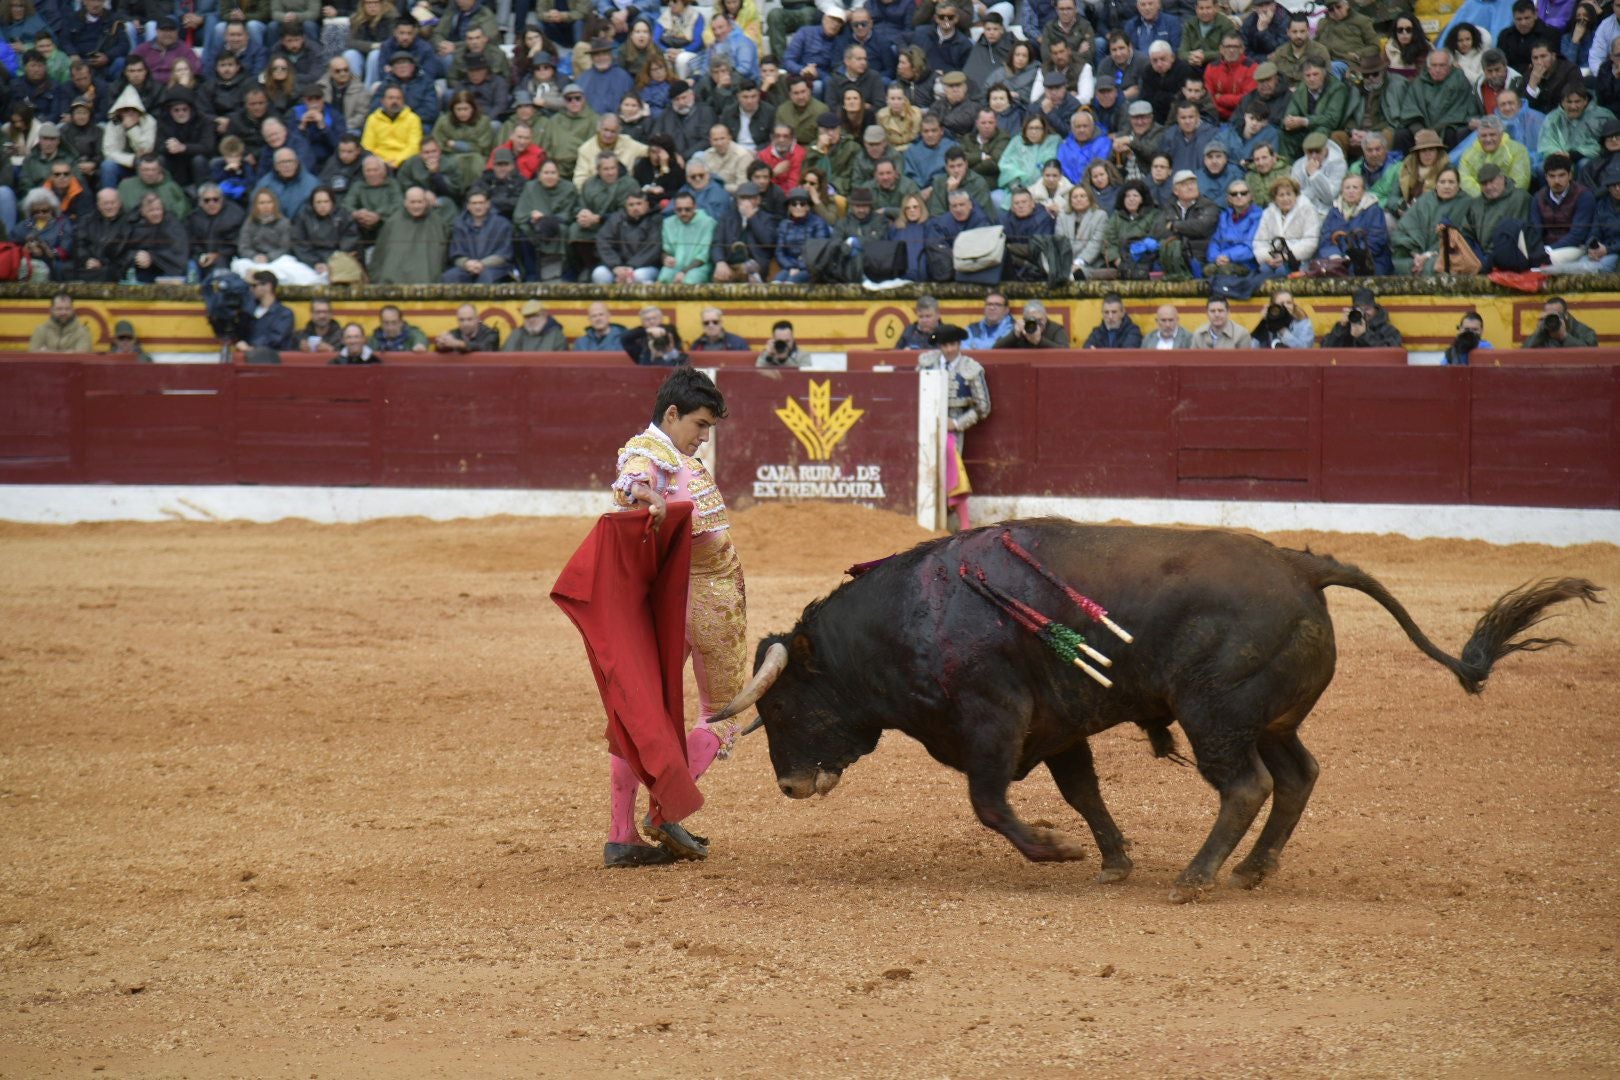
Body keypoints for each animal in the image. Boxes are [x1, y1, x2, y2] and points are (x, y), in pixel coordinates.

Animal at [709, 524, 1594, 906]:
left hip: (1216, 716)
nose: (788, 787)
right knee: (1297, 776)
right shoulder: (1059, 728)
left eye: (782, 705)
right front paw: (1110, 858)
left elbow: (991, 804)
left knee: (1245, 787)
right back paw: (1252, 868)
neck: (915, 616)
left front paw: (1057, 851)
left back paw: (1197, 878)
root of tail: (1301, 566)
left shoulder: (996, 721)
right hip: (1265, 718)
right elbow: (1085, 793)